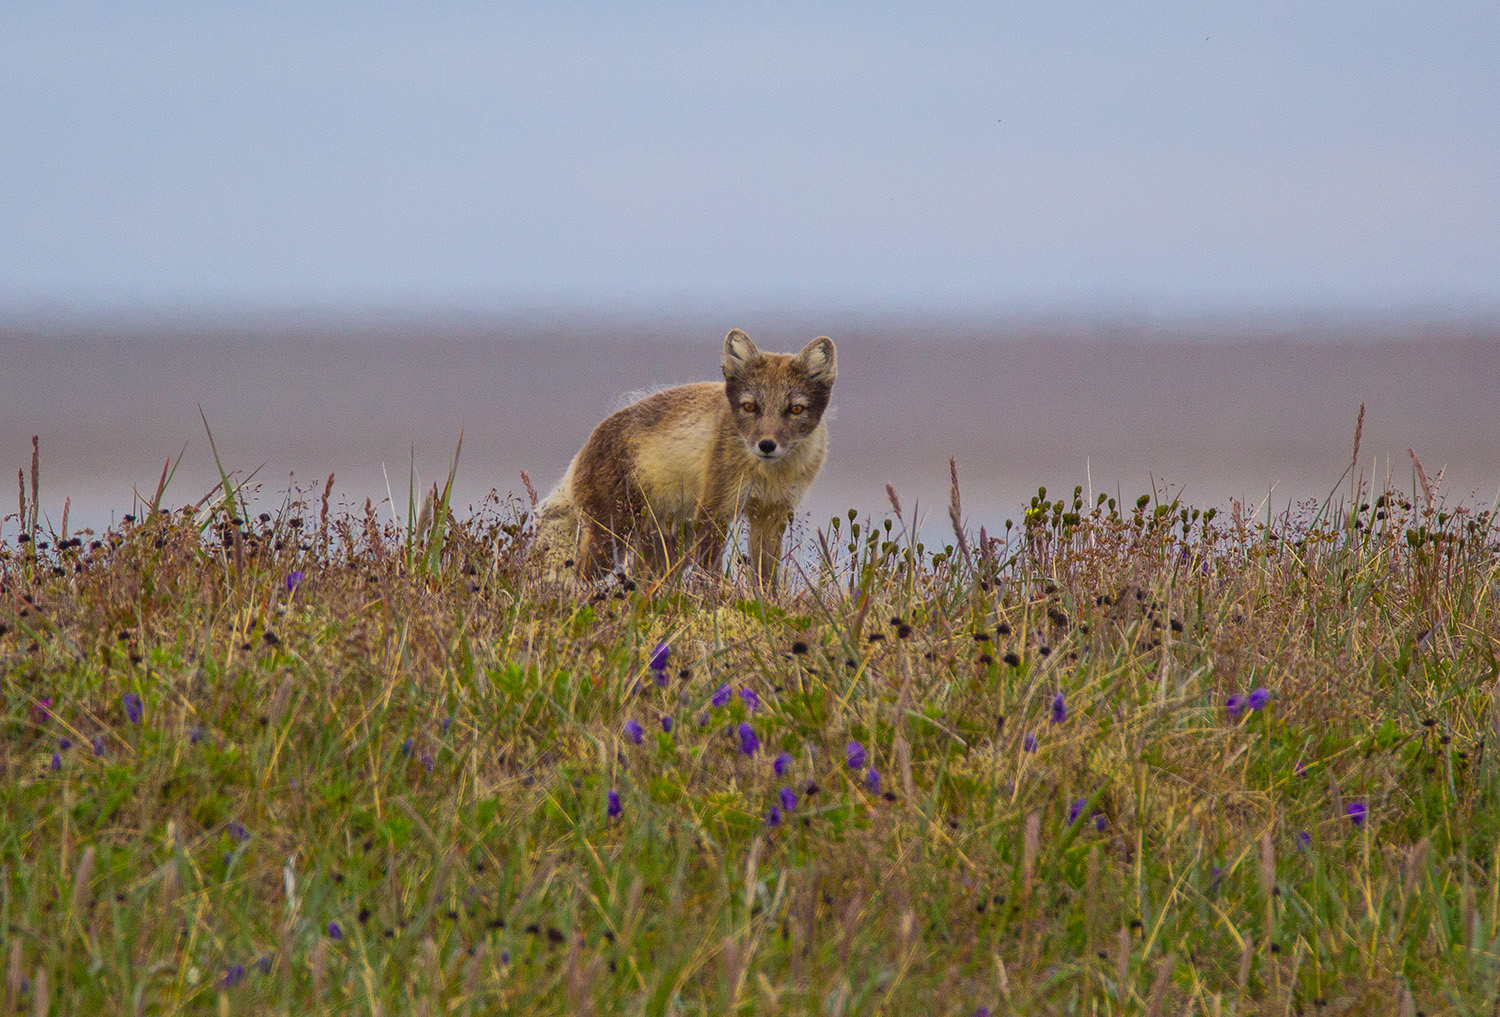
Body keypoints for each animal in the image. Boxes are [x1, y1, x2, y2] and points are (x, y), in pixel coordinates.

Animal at [537, 330, 846, 594]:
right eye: (750, 407)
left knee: (643, 582)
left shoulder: (771, 514)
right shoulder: (714, 511)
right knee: (577, 575)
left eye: (795, 409)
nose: (767, 445)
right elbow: (709, 572)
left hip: (668, 548)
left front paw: (765, 602)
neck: (768, 475)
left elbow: (765, 575)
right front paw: (713, 600)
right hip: (614, 537)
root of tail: (586, 445)